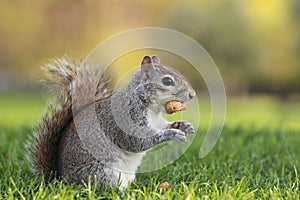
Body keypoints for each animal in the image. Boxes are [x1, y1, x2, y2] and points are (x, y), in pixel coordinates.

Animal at [27, 55, 196, 188]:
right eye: (167, 81)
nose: (192, 94)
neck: (152, 109)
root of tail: (62, 181)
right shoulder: (126, 119)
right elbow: (136, 141)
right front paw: (172, 134)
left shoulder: (157, 122)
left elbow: (163, 126)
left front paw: (184, 126)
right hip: (103, 173)